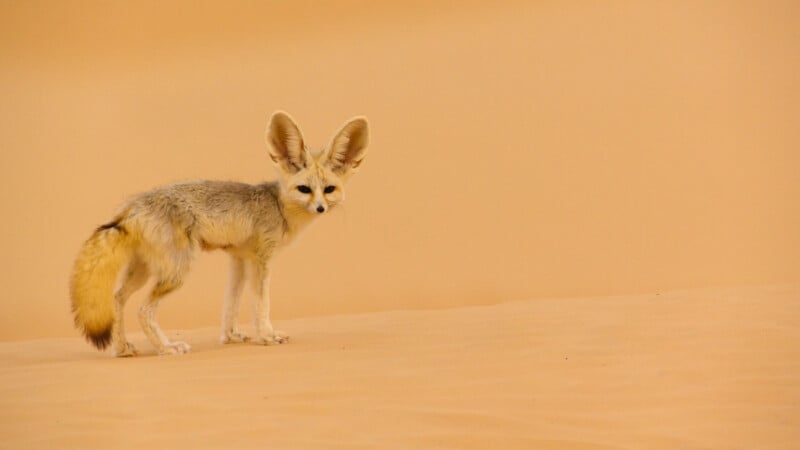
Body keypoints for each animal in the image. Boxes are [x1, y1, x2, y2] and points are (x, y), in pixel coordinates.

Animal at [70, 111, 369, 356]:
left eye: (329, 190)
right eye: (304, 189)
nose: (320, 208)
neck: (278, 206)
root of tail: (132, 206)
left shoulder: (238, 259)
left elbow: (230, 302)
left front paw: (231, 336)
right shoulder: (261, 260)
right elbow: (261, 303)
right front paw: (267, 336)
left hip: (144, 270)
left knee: (117, 298)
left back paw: (122, 348)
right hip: (177, 271)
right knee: (143, 310)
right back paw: (166, 348)